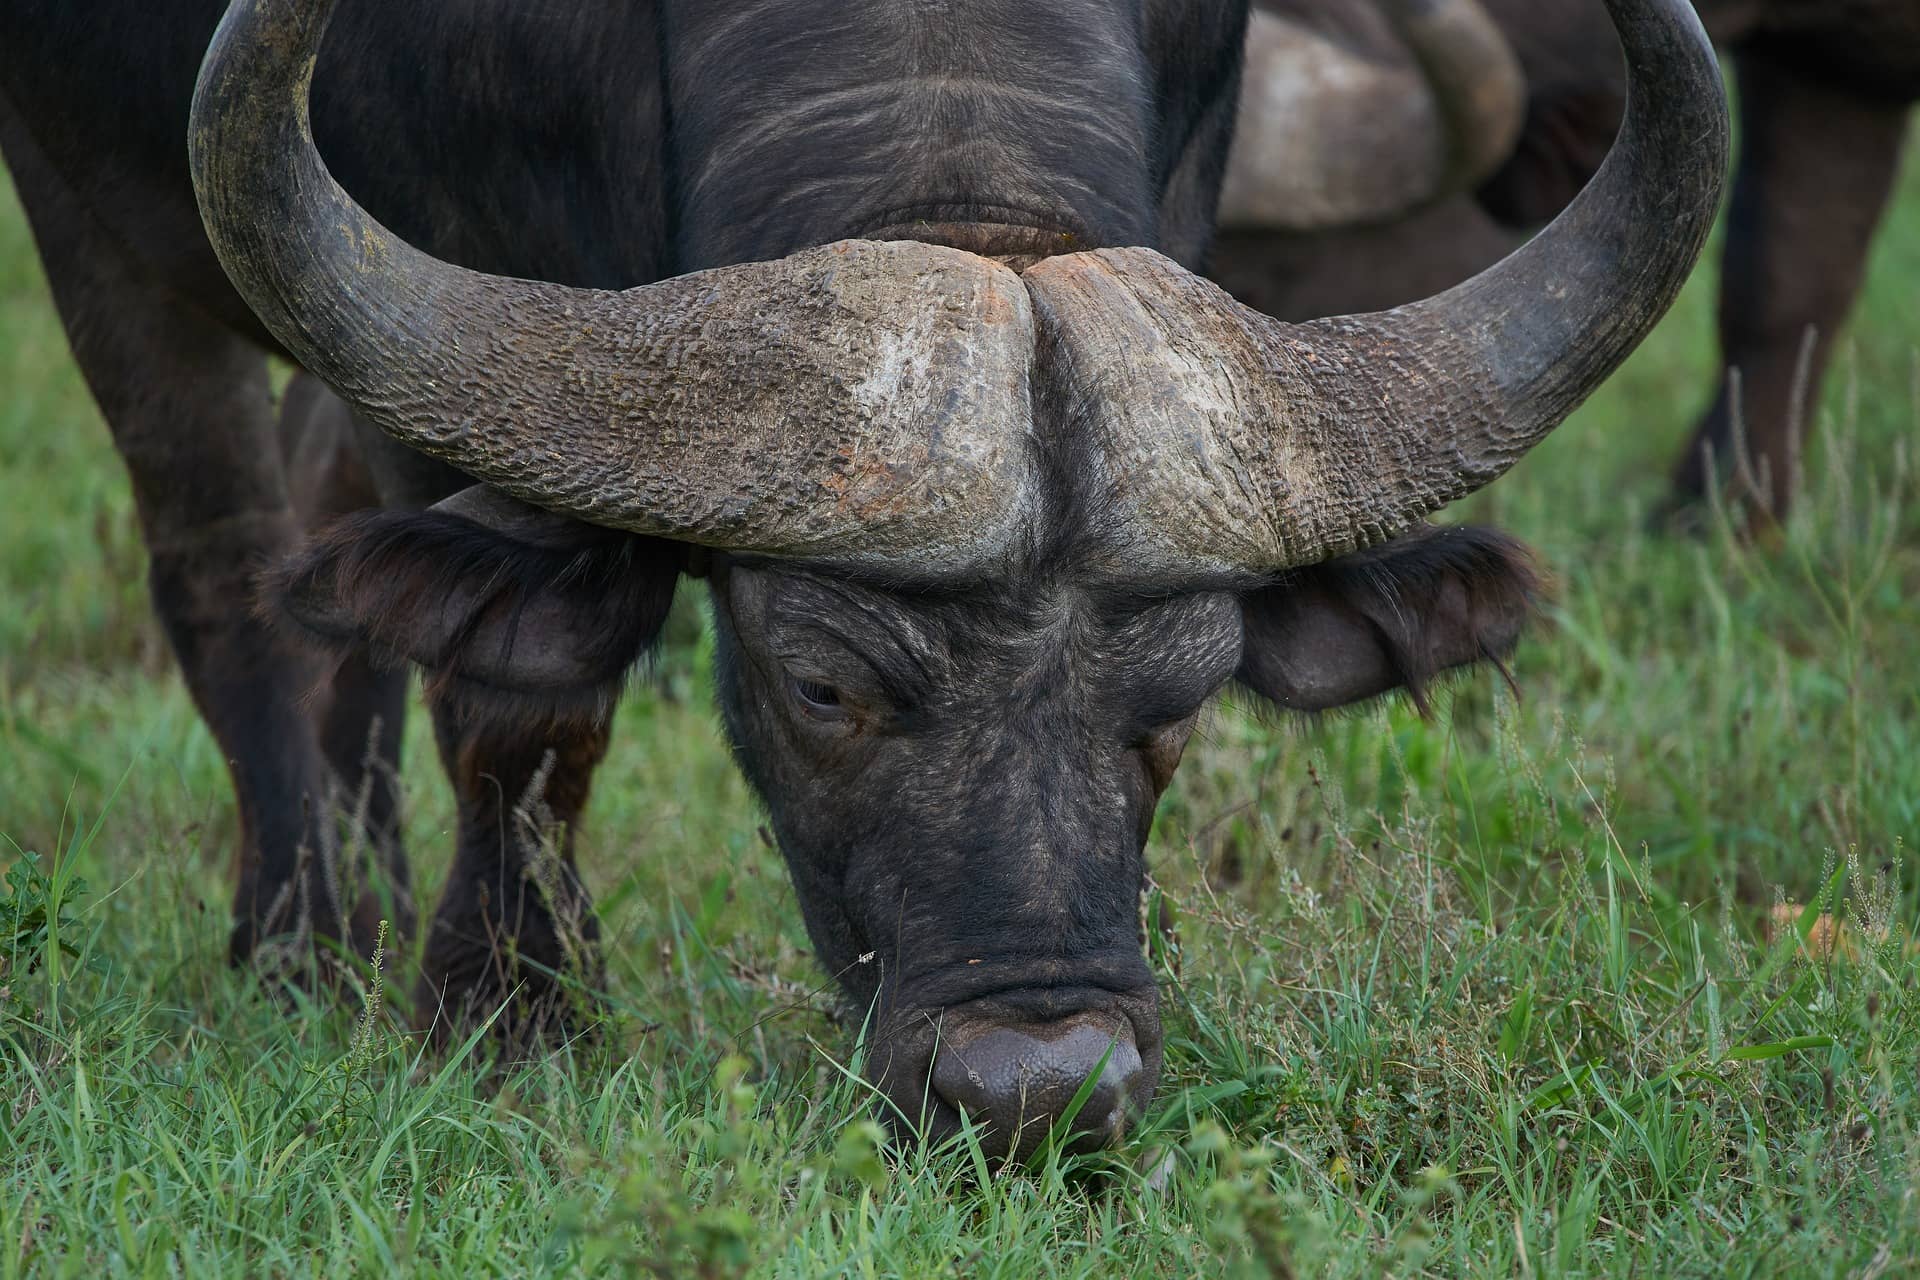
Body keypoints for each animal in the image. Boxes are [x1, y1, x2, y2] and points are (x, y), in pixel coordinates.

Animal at [0, 0, 1735, 1159]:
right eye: (821, 682)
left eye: (1182, 705)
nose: (1034, 1095)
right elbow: (523, 712)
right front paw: (510, 1022)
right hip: (99, 231)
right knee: (227, 565)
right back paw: (300, 941)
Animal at [1213, 0, 1920, 525]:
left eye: (1267, 268)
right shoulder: (1833, 75)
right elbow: (1785, 283)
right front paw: (1727, 517)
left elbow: (1783, 284)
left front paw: (1719, 515)